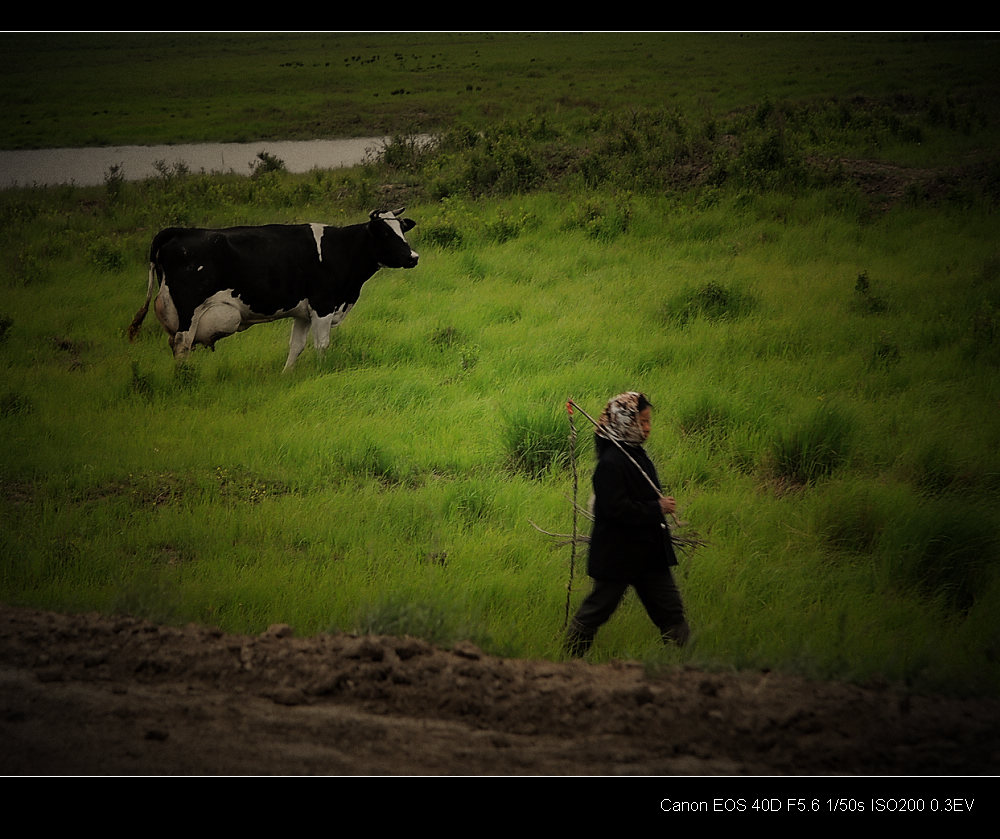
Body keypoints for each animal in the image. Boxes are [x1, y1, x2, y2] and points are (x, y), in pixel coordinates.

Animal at [128, 208, 418, 370]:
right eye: (385, 234)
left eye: (402, 230)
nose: (413, 257)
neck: (340, 249)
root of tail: (178, 232)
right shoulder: (323, 305)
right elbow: (321, 344)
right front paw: (321, 370)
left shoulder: (303, 312)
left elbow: (296, 346)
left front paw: (287, 374)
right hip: (189, 312)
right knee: (182, 346)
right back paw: (186, 381)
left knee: (174, 344)